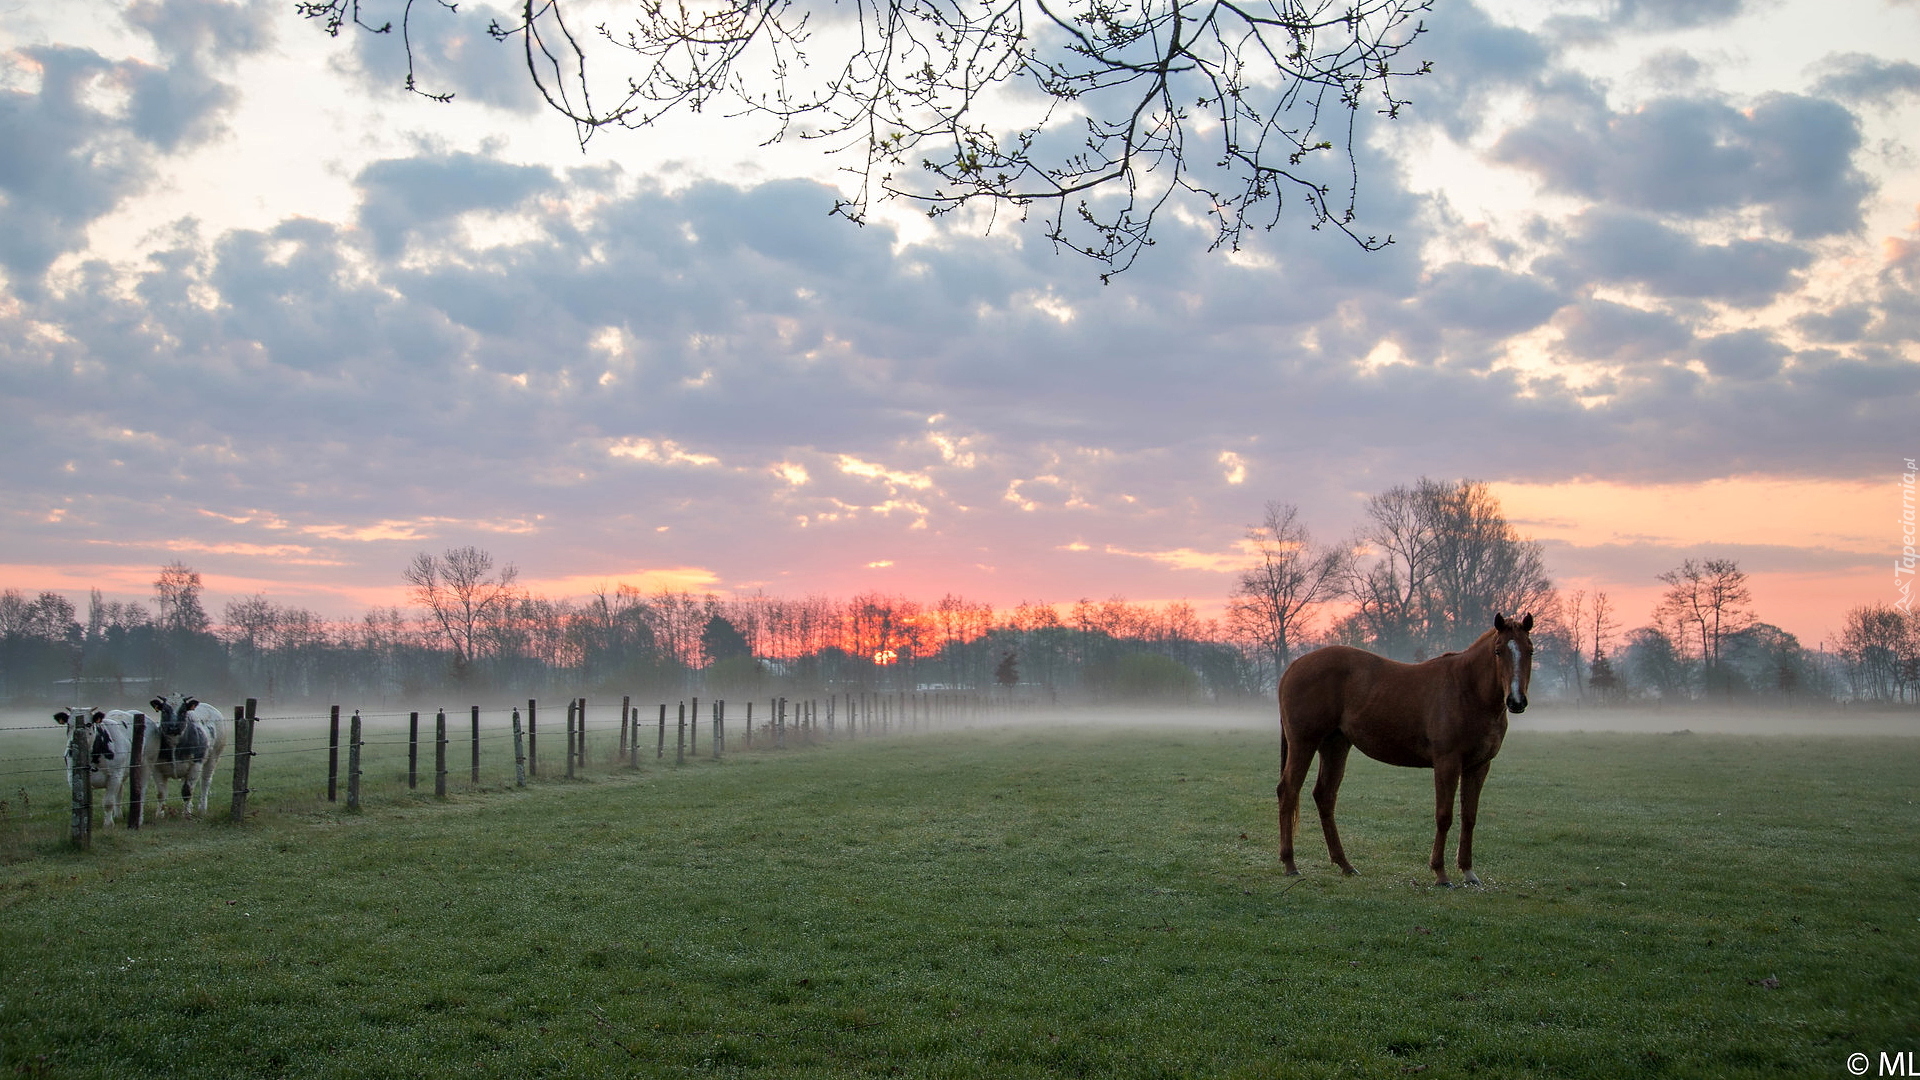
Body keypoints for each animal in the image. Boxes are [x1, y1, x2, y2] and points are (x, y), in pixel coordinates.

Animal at [1282, 614, 1536, 883]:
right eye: (1498, 651)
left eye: (1530, 650)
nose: (1516, 701)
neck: (1468, 691)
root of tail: (1294, 666)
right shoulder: (1447, 763)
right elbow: (1444, 816)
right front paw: (1440, 872)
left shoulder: (1478, 766)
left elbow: (1469, 817)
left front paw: (1468, 871)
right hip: (1303, 744)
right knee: (1288, 792)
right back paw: (1290, 863)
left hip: (1335, 746)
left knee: (1325, 797)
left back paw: (1345, 864)